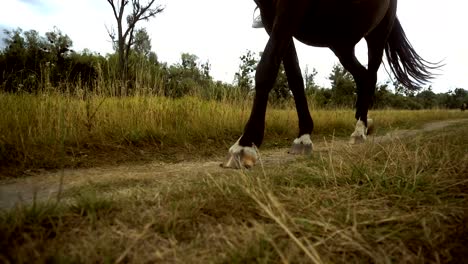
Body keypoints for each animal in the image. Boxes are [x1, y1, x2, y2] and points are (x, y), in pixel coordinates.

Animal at [221, 0, 436, 168]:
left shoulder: (289, 9)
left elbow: (267, 68)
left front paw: (245, 144)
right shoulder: (271, 15)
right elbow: (295, 77)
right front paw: (304, 136)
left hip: (377, 33)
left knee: (371, 75)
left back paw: (360, 131)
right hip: (341, 43)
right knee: (362, 76)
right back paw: (364, 123)